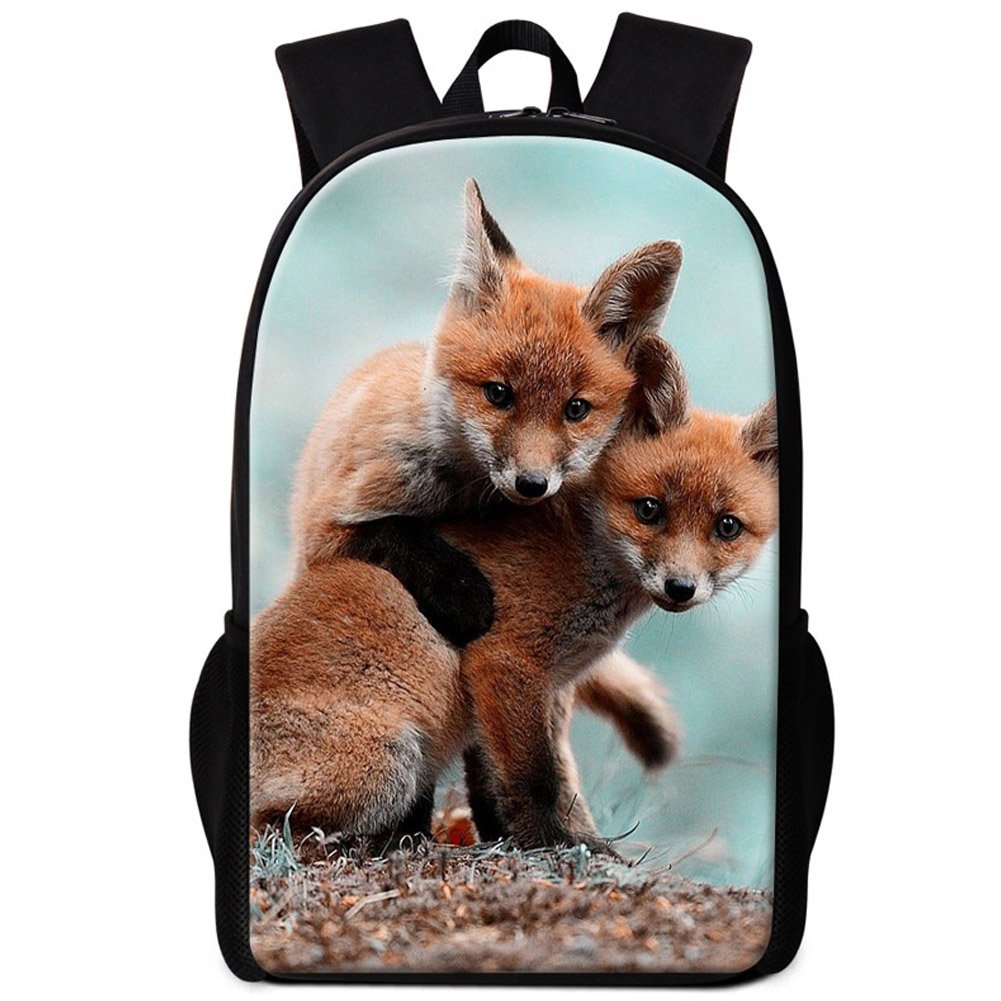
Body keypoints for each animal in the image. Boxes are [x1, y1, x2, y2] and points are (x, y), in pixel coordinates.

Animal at [250, 334, 779, 850]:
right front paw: (549, 842)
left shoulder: (547, 688)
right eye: (649, 510)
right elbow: (534, 779)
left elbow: (530, 780)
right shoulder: (505, 662)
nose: (680, 587)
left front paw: (550, 840)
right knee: (274, 829)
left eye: (727, 527)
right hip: (391, 762)